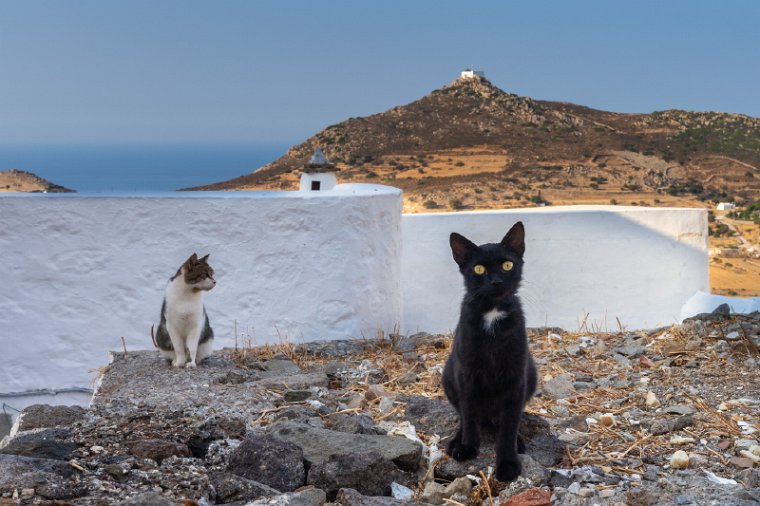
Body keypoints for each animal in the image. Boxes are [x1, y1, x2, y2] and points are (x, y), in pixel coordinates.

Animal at [440, 221, 540, 482]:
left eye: (507, 265)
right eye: (478, 269)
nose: (495, 281)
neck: (492, 314)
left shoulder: (516, 377)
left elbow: (508, 426)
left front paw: (508, 464)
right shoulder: (466, 373)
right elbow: (469, 413)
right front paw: (467, 447)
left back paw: (518, 441)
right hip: (448, 375)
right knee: (465, 415)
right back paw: (457, 440)